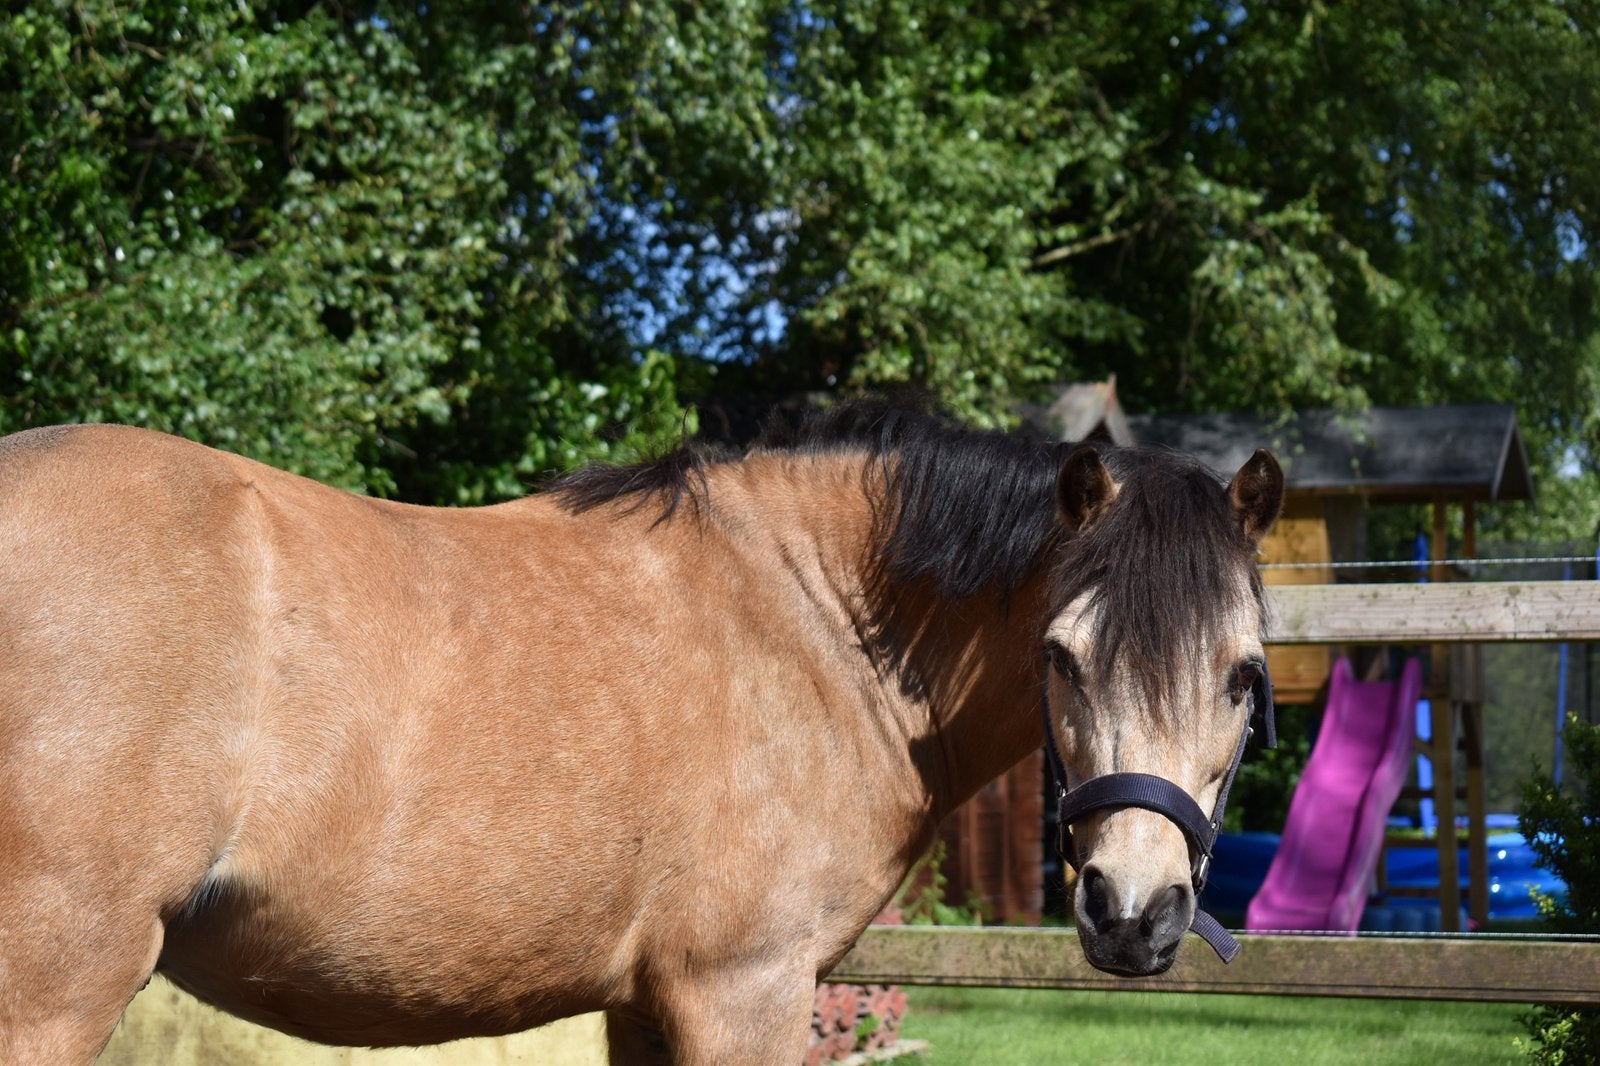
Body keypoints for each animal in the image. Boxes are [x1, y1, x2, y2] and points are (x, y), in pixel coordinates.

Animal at [0, 405, 1282, 1064]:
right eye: (1061, 654)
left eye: (1241, 673)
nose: (1134, 911)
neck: (814, 618)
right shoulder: (743, 992)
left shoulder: (641, 1002)